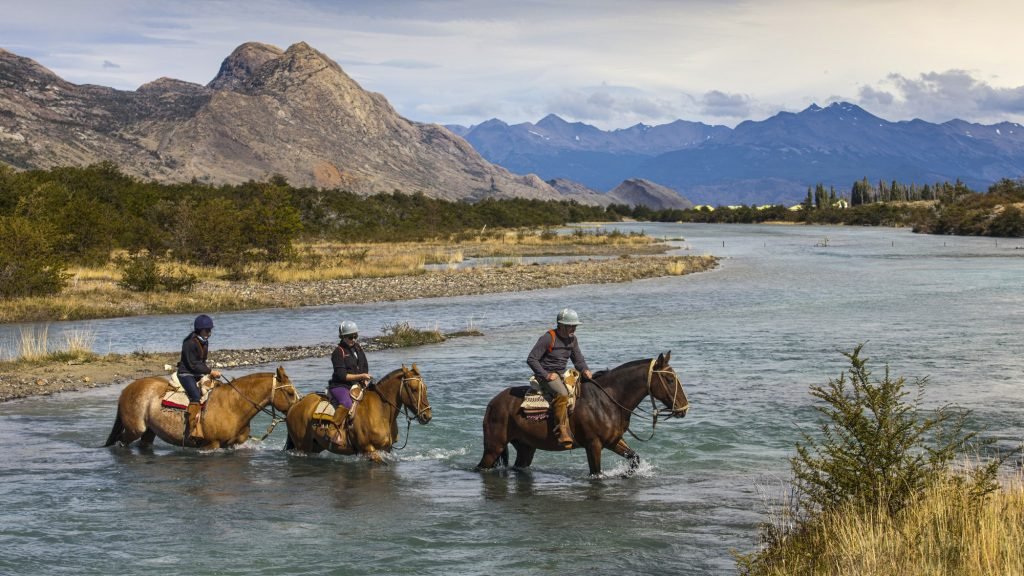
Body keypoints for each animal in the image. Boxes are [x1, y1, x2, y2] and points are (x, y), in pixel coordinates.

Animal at [102, 364, 299, 450]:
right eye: (290, 393)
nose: (297, 409)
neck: (233, 406)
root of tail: (127, 389)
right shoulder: (210, 446)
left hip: (149, 431)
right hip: (135, 429)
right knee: (121, 441)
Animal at [284, 362, 432, 461]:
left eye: (425, 388)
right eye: (414, 389)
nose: (427, 416)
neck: (381, 411)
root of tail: (295, 405)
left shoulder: (386, 449)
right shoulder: (369, 450)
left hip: (315, 446)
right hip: (303, 447)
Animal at [477, 350, 688, 475]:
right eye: (669, 380)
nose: (684, 408)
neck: (607, 401)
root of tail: (492, 403)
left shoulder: (612, 441)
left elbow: (634, 458)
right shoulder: (593, 445)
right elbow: (596, 473)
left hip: (526, 447)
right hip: (494, 447)